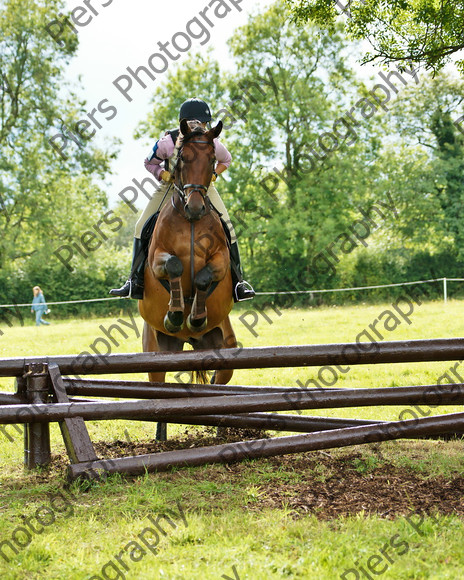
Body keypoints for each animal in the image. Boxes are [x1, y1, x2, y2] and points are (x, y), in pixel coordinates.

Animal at [139, 119, 237, 440]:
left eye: (212, 160)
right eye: (182, 158)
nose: (196, 207)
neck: (190, 221)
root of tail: (188, 342)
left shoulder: (221, 258)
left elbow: (205, 277)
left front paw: (194, 316)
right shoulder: (156, 258)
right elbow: (174, 266)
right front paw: (175, 314)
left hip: (225, 349)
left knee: (221, 385)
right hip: (156, 352)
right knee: (159, 391)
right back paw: (160, 437)